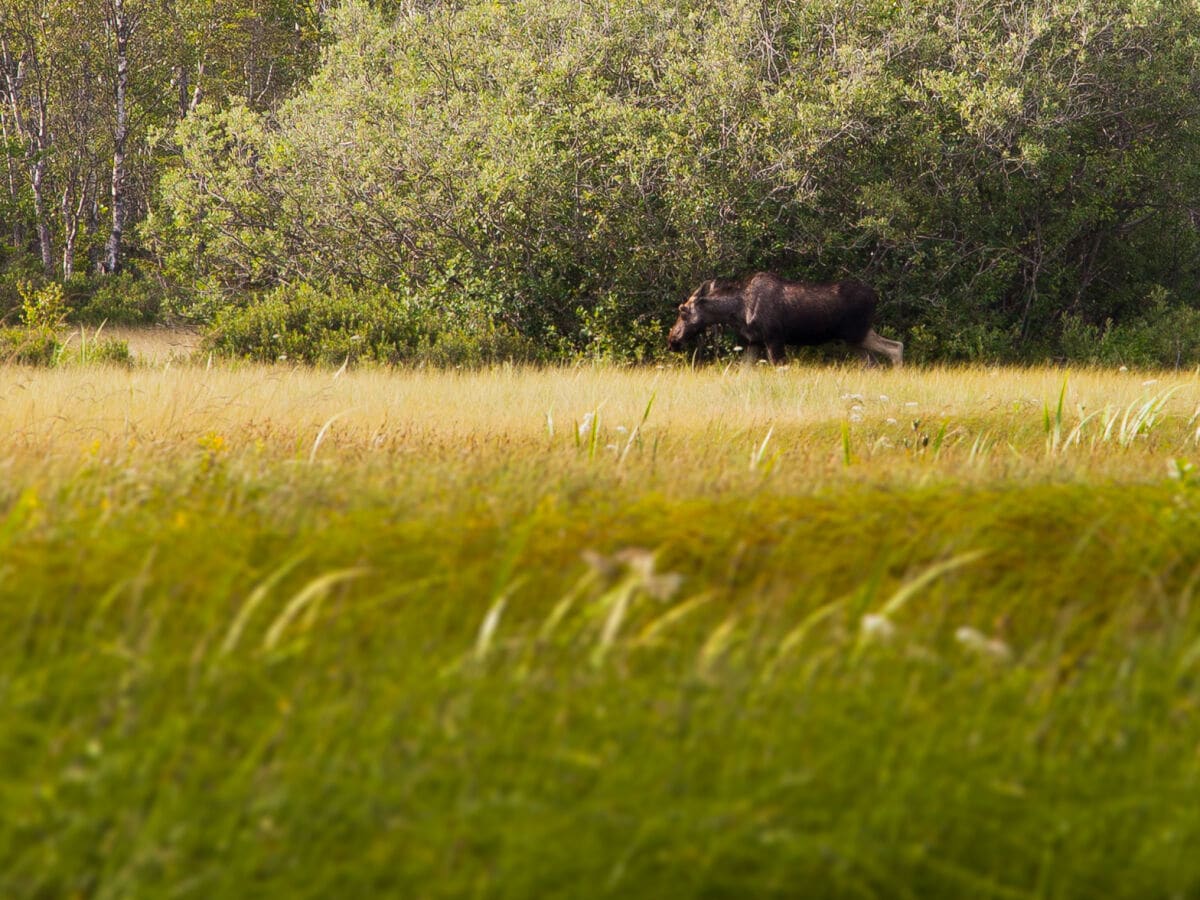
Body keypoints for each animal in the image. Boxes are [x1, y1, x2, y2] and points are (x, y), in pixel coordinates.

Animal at [667, 271, 902, 367]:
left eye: (683, 311)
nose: (672, 339)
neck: (738, 311)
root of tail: (876, 296)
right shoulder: (753, 342)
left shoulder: (774, 338)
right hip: (856, 338)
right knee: (876, 361)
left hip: (856, 334)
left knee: (895, 348)